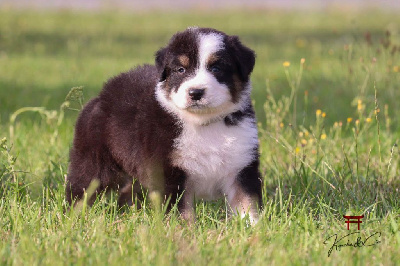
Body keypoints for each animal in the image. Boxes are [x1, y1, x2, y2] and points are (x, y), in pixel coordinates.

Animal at [65, 27, 262, 222]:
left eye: (216, 68)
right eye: (181, 69)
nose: (195, 92)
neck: (203, 123)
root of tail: (101, 96)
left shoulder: (241, 166)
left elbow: (247, 204)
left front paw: (253, 228)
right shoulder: (168, 170)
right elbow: (180, 211)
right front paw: (184, 229)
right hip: (93, 161)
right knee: (80, 189)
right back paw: (73, 217)